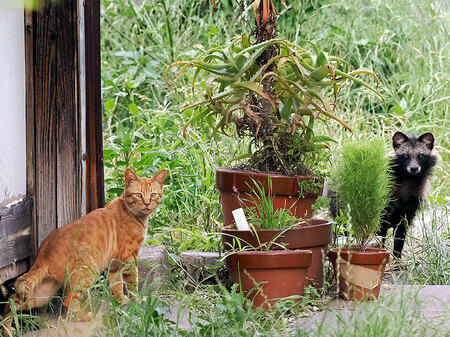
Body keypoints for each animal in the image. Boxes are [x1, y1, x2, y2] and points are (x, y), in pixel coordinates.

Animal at [0, 167, 166, 332]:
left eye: (153, 195)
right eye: (138, 195)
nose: (147, 203)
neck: (132, 213)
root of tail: (44, 251)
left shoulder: (114, 265)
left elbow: (116, 286)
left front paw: (121, 303)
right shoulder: (129, 258)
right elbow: (132, 284)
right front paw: (136, 301)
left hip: (41, 294)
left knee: (12, 302)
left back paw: (7, 329)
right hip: (87, 272)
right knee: (68, 301)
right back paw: (86, 316)